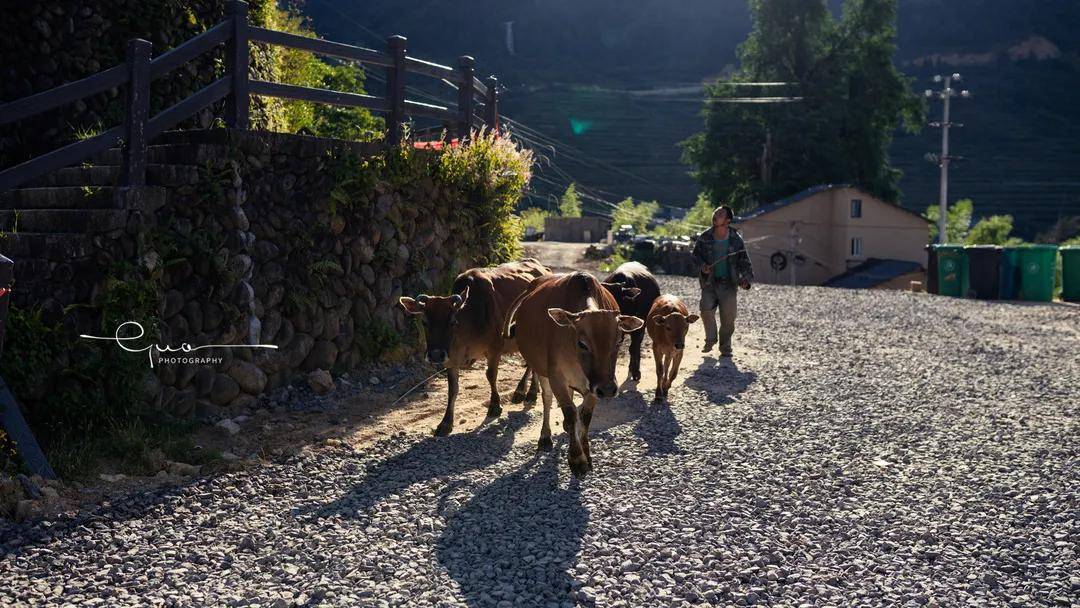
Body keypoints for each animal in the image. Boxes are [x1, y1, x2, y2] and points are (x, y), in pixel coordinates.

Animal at [397, 259, 548, 436]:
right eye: (424, 322)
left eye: (452, 321)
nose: (435, 355)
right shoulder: (451, 358)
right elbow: (452, 389)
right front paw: (445, 423)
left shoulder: (495, 348)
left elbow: (491, 375)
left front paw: (494, 406)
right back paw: (527, 391)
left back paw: (527, 392)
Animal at [503, 273, 643, 477]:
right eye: (582, 343)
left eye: (619, 341)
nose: (608, 390)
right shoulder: (557, 377)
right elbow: (569, 413)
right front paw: (577, 459)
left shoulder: (592, 387)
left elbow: (584, 416)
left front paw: (586, 453)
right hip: (542, 369)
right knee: (547, 399)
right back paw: (545, 436)